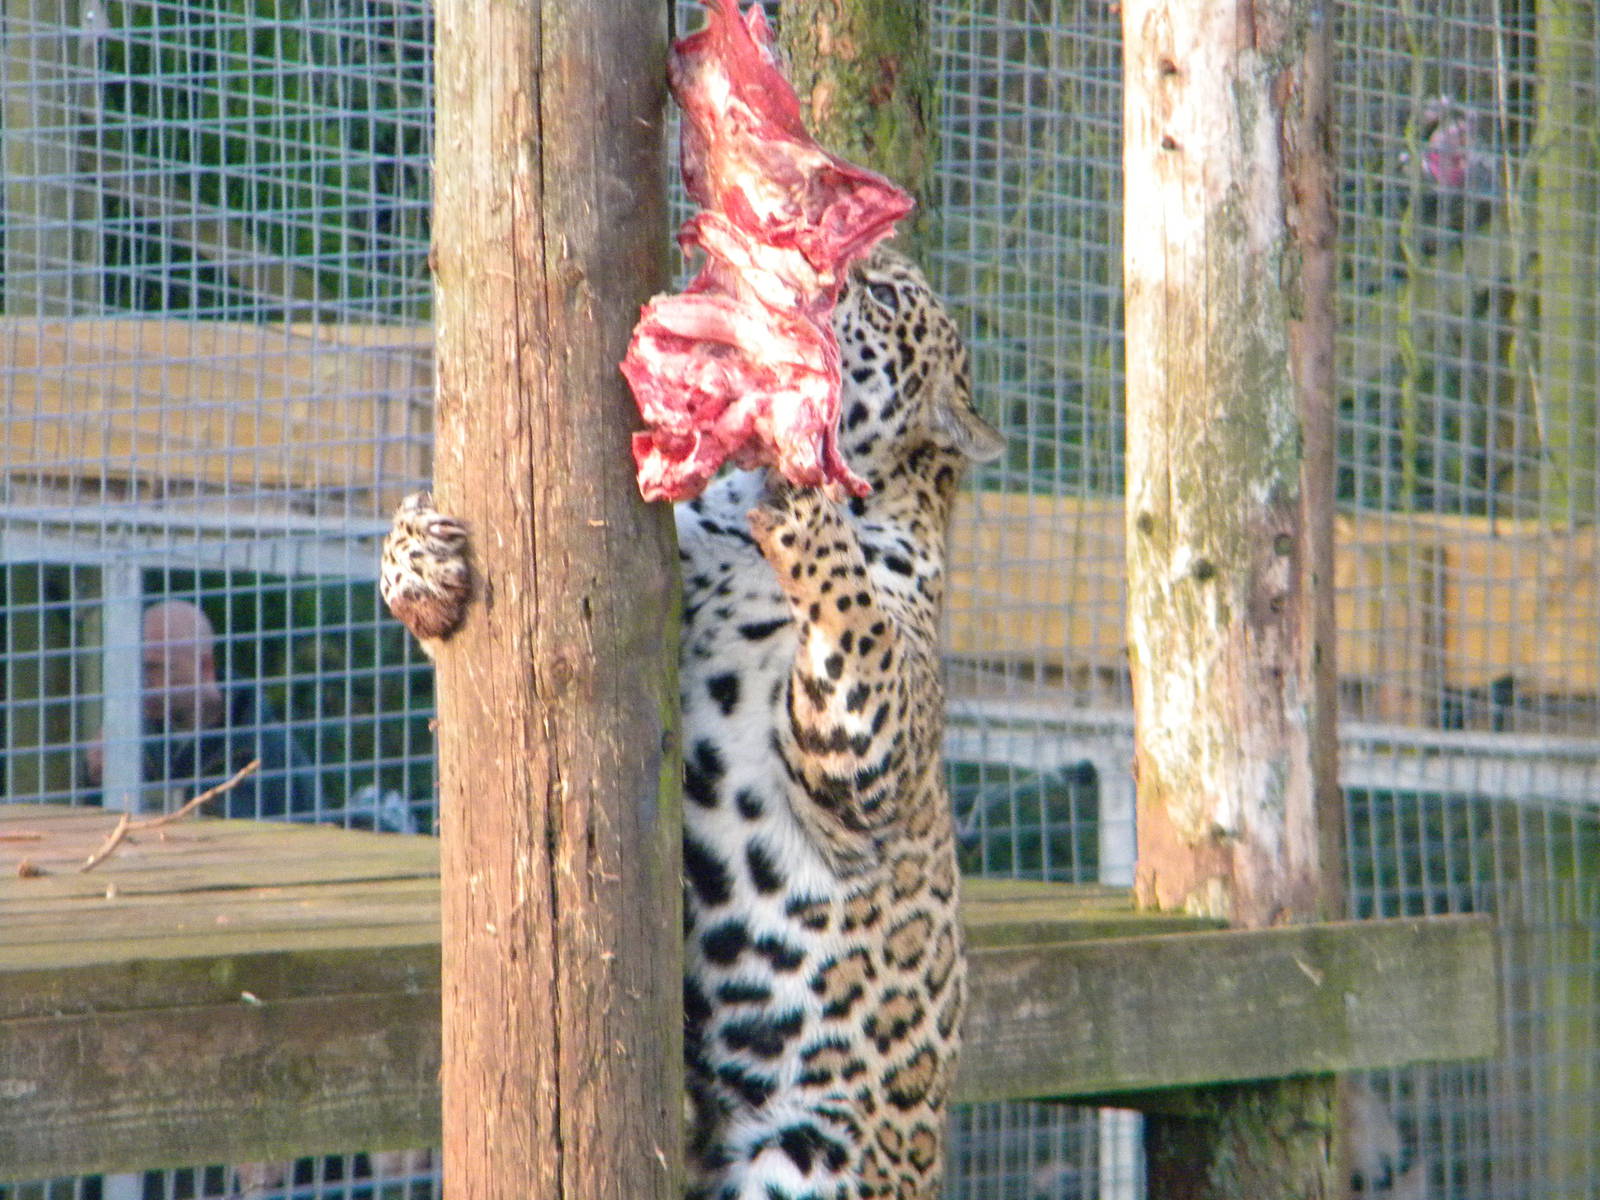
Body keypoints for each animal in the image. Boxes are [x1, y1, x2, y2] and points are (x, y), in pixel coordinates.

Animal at [380, 244, 1004, 1200]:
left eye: (884, 293)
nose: (819, 261)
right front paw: (421, 561)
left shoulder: (869, 750)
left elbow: (854, 607)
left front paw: (805, 493)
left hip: (806, 1161)